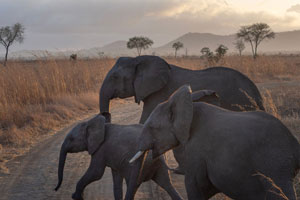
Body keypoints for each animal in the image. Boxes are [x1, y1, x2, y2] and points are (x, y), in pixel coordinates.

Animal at [54, 115, 182, 200]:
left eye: (71, 139)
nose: (55, 189)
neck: (92, 123)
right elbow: (116, 177)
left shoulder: (101, 149)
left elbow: (96, 173)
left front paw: (75, 197)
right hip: (157, 165)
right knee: (167, 184)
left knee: (134, 184)